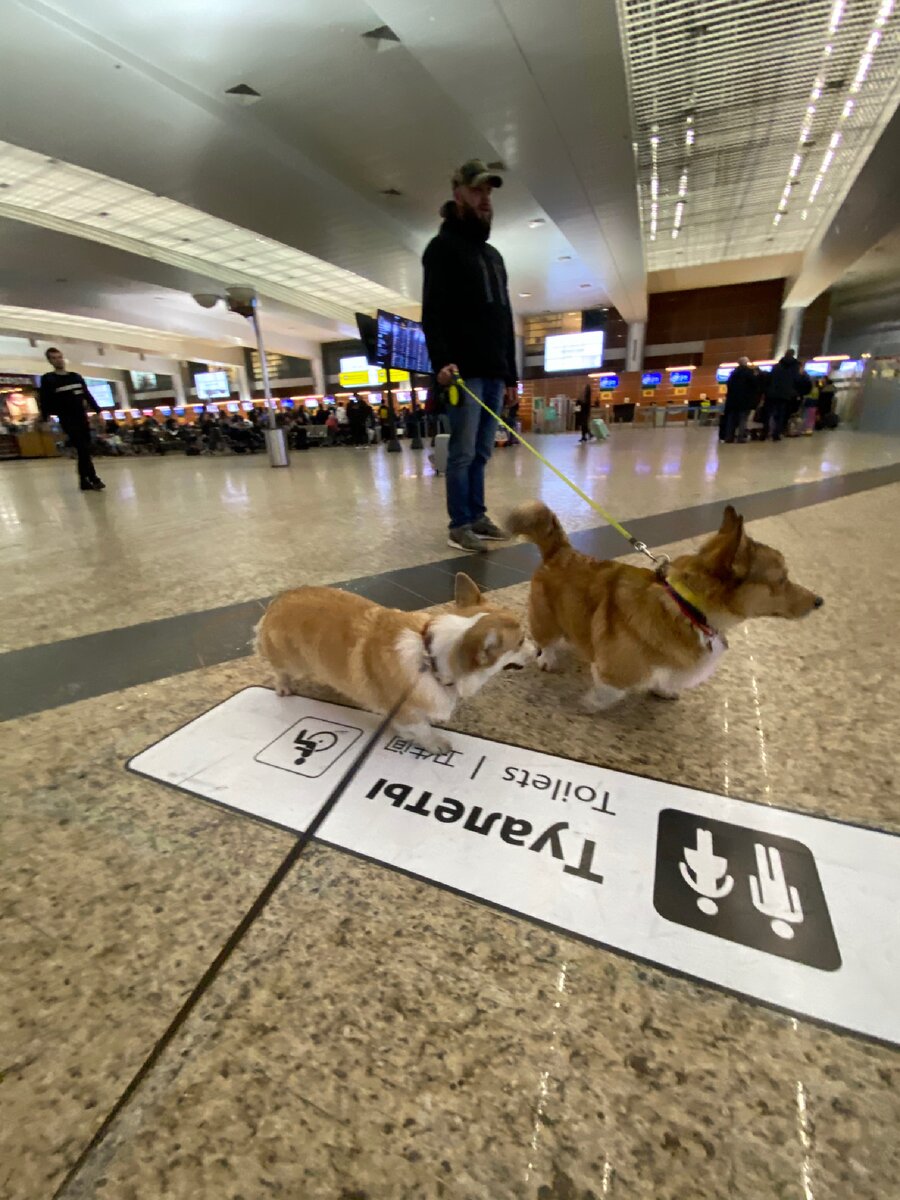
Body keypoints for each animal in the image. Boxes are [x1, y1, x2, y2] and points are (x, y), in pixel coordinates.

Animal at [254, 571, 535, 748]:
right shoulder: (405, 710)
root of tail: (278, 599)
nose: (538, 652)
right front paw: (435, 744)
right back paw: (283, 687)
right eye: (521, 641)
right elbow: (422, 728)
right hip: (291, 662)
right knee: (279, 669)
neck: (430, 661)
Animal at [508, 499, 825, 705]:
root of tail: (561, 551)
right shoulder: (616, 668)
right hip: (545, 619)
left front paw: (663, 690)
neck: (687, 606)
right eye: (781, 579)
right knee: (546, 640)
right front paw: (596, 701)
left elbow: (664, 677)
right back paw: (548, 658)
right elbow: (610, 688)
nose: (820, 601)